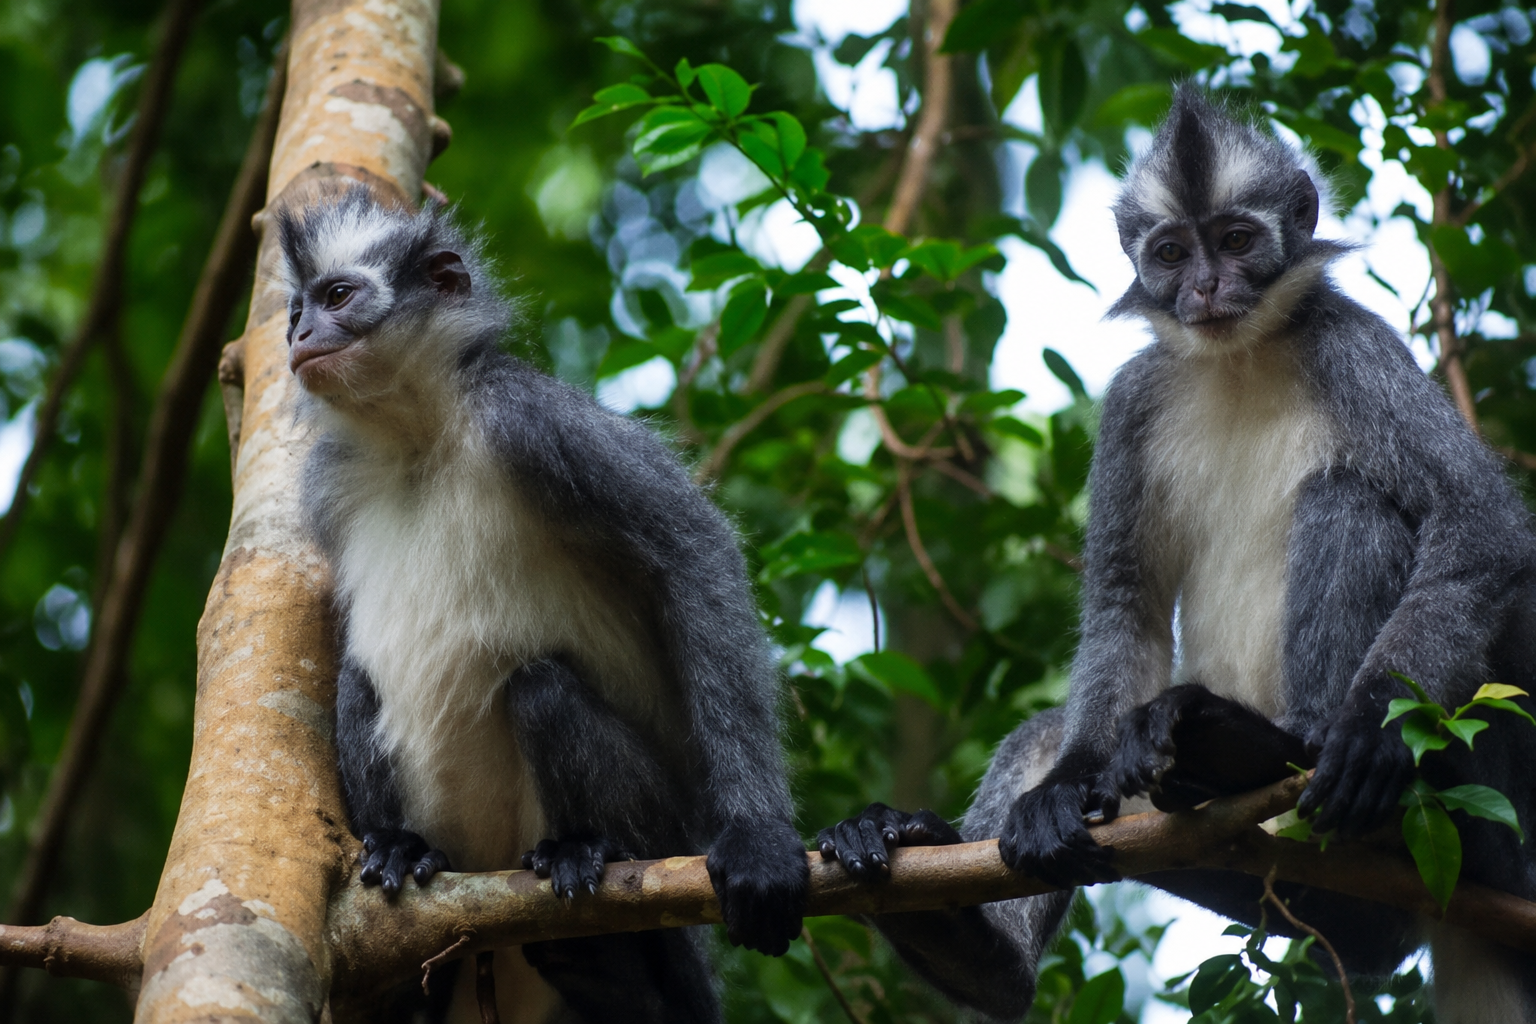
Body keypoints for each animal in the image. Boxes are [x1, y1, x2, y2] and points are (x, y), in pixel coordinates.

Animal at [276, 188, 809, 1023]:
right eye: (296, 311)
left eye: (337, 297)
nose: (300, 335)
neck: (419, 437)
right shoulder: (328, 480)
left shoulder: (530, 416)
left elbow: (695, 552)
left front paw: (758, 837)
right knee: (360, 681)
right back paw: (402, 851)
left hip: (658, 823)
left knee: (542, 686)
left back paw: (591, 872)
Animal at [817, 87, 1536, 1022]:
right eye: (1169, 252)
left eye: (1235, 240)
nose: (1206, 286)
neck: (1238, 359)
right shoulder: (1135, 399)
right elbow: (1126, 602)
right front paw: (1058, 792)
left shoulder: (1355, 347)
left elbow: (1482, 521)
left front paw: (1369, 732)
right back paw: (970, 941)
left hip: (1479, 806)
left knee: (1349, 495)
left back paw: (1270, 749)